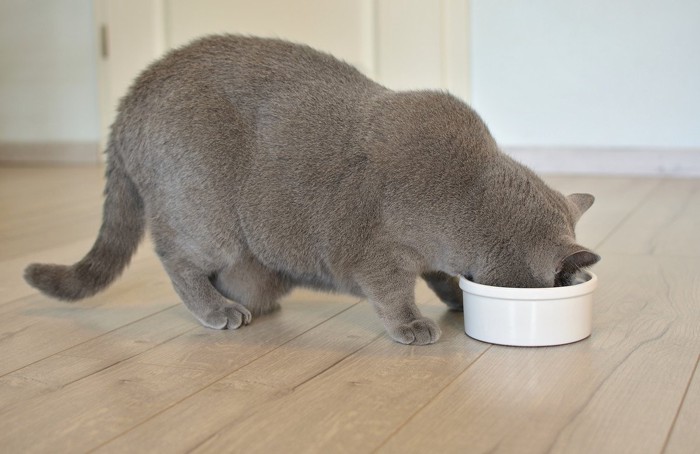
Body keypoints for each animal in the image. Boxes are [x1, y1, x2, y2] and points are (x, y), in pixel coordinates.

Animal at [24, 35, 600, 344]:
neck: (469, 197)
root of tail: (134, 92)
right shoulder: (377, 253)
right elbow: (393, 292)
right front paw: (414, 327)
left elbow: (439, 275)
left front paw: (456, 299)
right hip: (205, 214)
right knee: (176, 257)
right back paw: (217, 311)